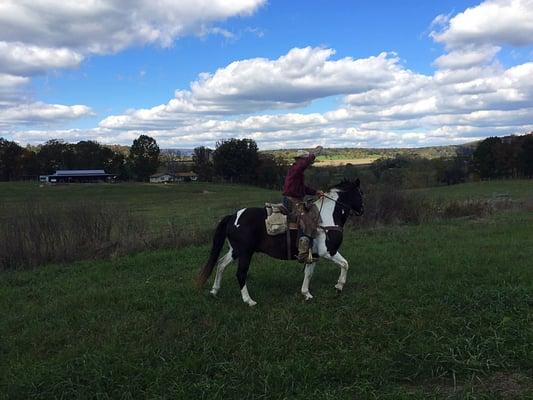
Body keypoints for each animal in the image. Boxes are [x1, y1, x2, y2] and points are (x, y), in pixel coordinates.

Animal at [197, 179, 364, 306]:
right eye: (360, 193)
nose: (362, 210)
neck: (327, 217)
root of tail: (233, 216)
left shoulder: (313, 255)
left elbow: (308, 273)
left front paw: (306, 294)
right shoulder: (328, 251)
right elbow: (345, 264)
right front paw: (339, 286)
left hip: (235, 251)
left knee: (221, 264)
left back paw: (214, 291)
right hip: (245, 253)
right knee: (241, 273)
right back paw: (249, 301)